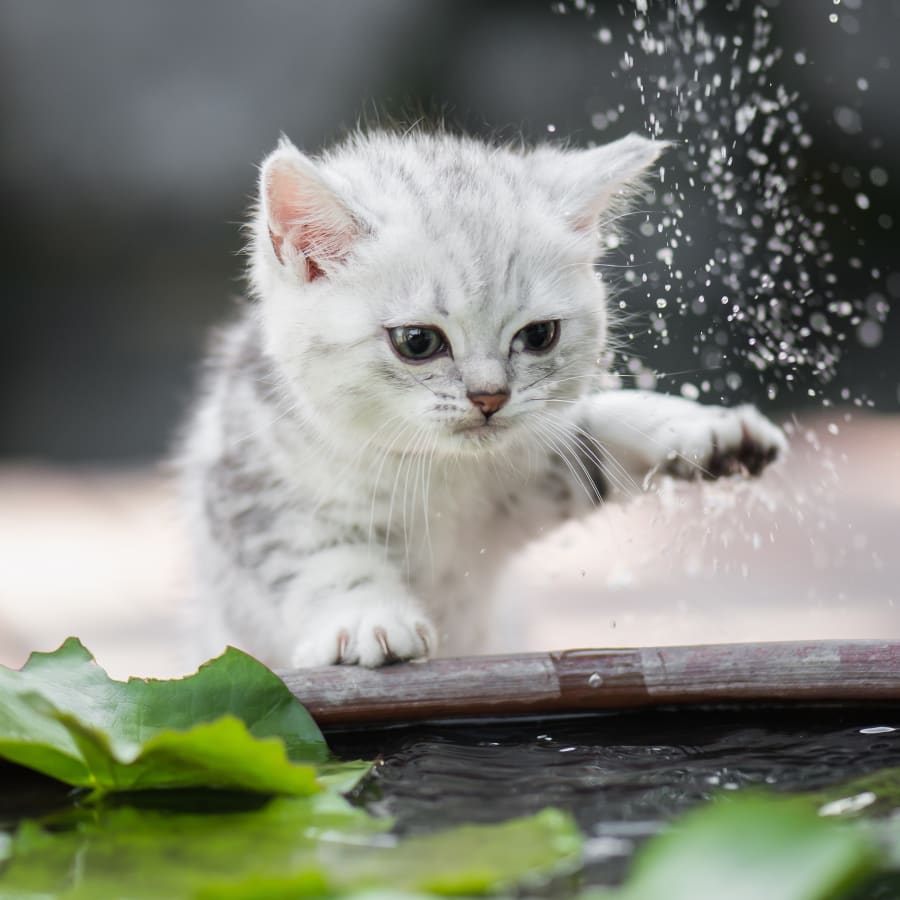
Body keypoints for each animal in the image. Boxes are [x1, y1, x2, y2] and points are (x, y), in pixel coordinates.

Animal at [178, 132, 788, 668]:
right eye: (418, 342)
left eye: (539, 335)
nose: (490, 396)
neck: (438, 473)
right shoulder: (252, 486)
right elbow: (320, 555)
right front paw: (367, 617)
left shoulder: (531, 481)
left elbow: (594, 438)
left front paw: (703, 430)